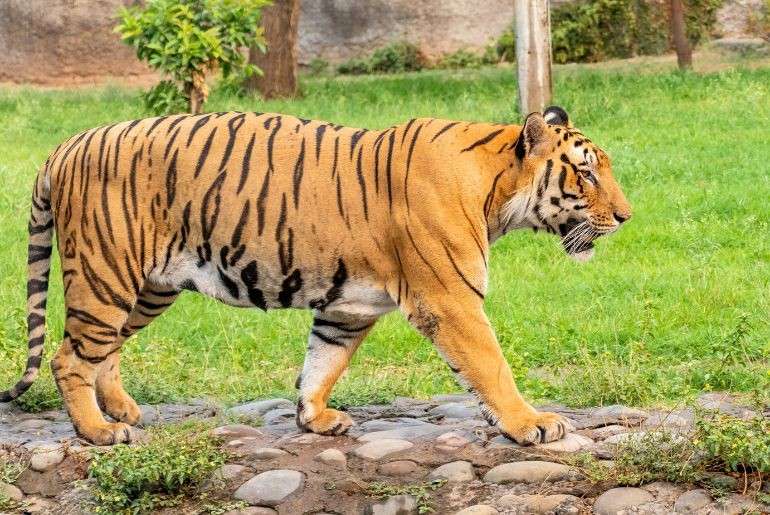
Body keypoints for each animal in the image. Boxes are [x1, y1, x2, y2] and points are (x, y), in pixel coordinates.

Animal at [1, 105, 631, 446]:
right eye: (585, 174)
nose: (626, 217)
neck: (497, 191)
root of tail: (65, 146)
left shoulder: (346, 308)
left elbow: (322, 363)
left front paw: (314, 418)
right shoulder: (451, 300)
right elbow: (491, 367)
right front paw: (532, 423)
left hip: (148, 287)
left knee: (101, 349)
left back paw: (121, 410)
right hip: (105, 275)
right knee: (68, 356)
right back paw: (98, 432)